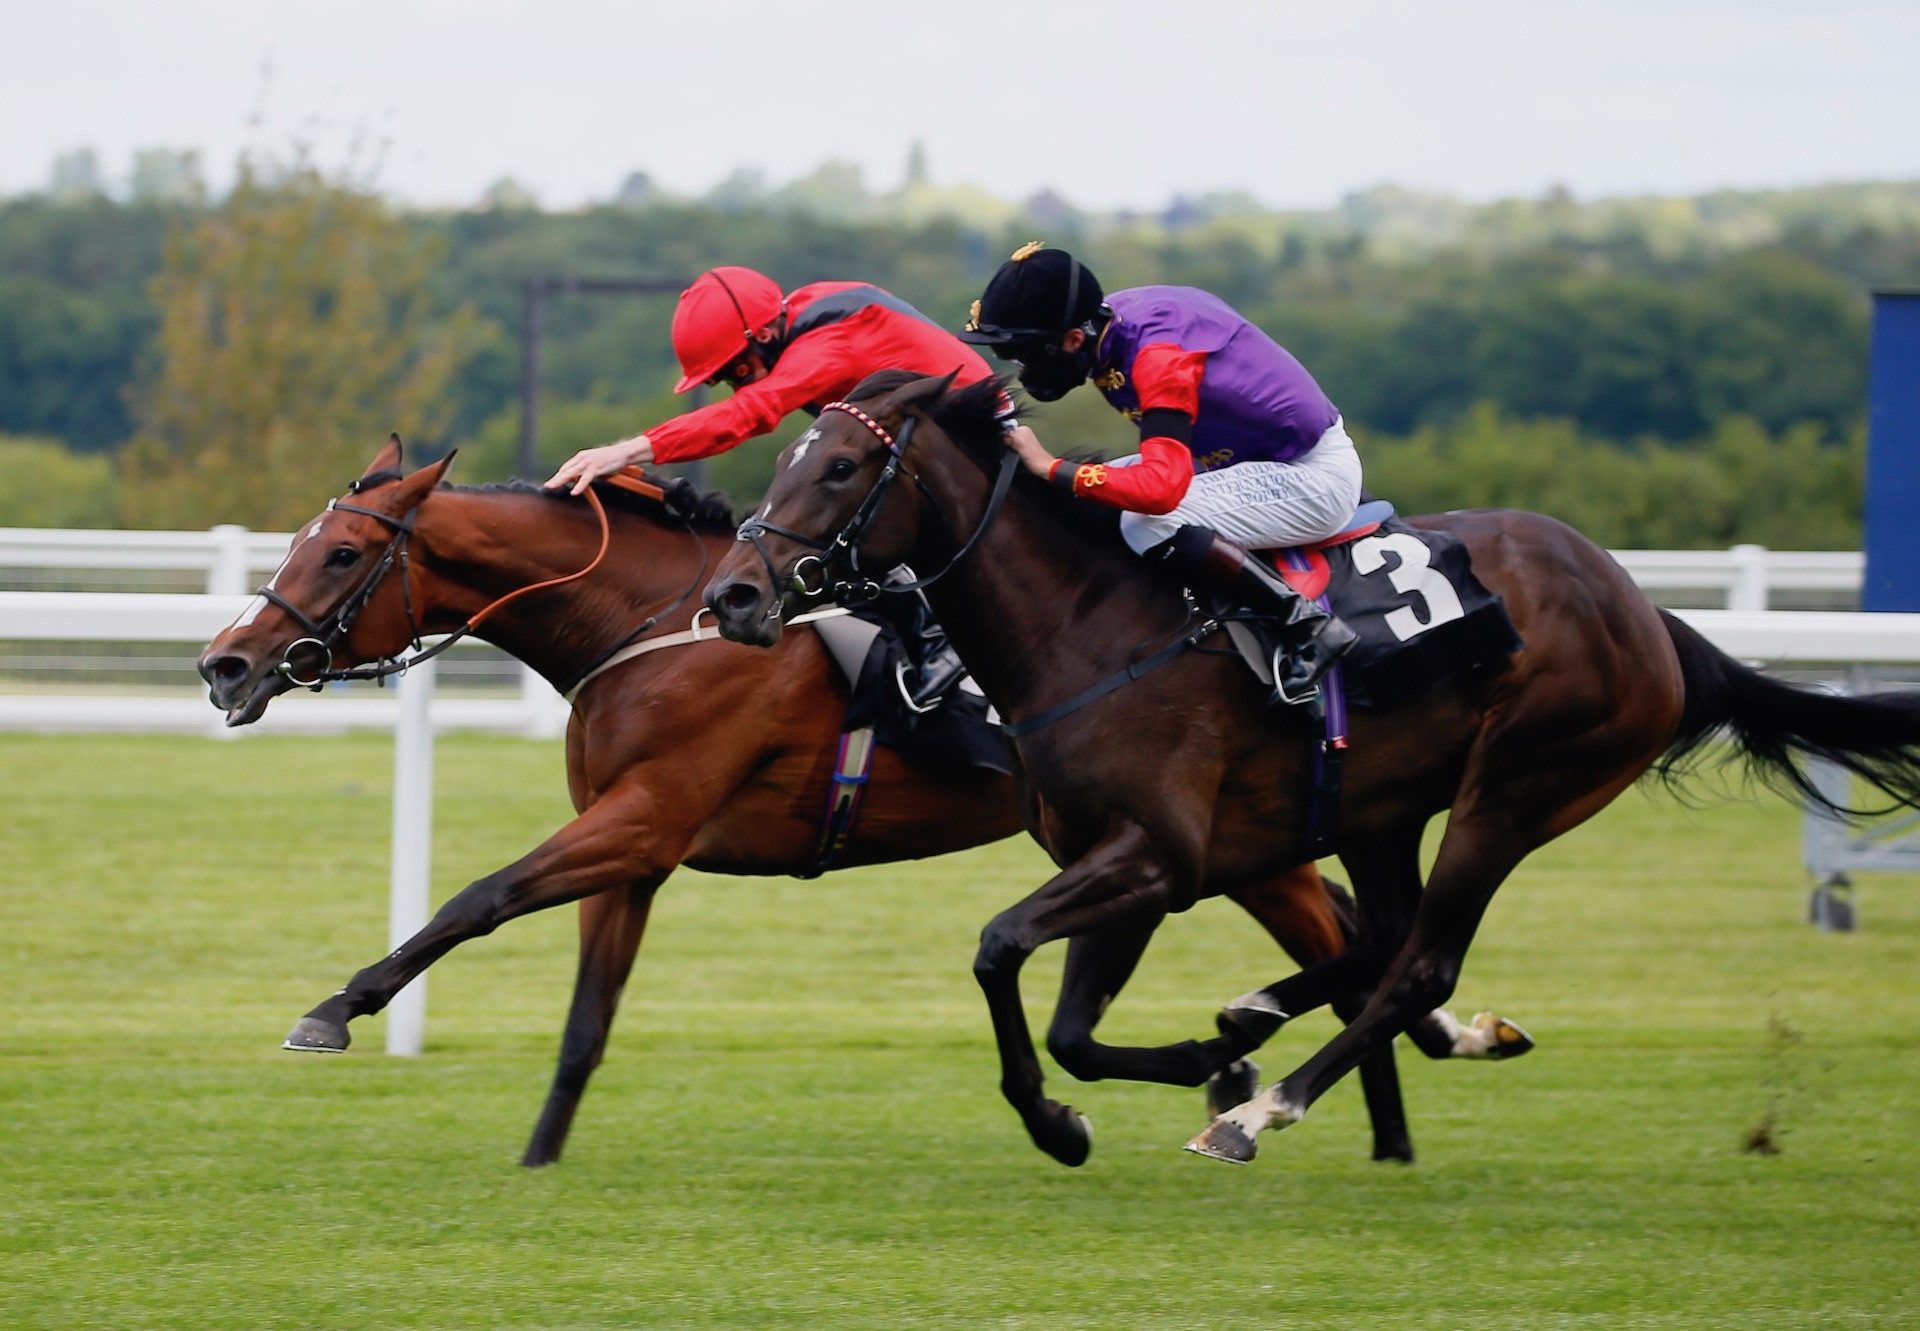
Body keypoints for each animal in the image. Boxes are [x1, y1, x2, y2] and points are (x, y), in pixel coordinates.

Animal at [202, 435, 1520, 1160]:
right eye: (296, 545)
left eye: (336, 554)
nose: (224, 663)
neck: (658, 619)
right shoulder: (637, 847)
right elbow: (585, 1023)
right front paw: (537, 1157)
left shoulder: (646, 812)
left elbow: (479, 894)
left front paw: (335, 1006)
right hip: (1238, 839)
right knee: (1353, 936)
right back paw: (1375, 1087)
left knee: (1355, 936)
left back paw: (1292, 1080)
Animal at [698, 366, 1920, 1160]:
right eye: (787, 457)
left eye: (841, 465)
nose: (735, 595)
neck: (1089, 623)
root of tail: (1645, 612)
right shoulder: (1133, 862)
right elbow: (1074, 1029)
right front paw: (1162, 1073)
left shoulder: (1153, 854)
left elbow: (1001, 949)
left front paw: (1099, 1112)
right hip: (1383, 809)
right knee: (1383, 939)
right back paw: (1260, 1025)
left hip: (1517, 789)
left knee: (1420, 961)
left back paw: (1260, 1110)